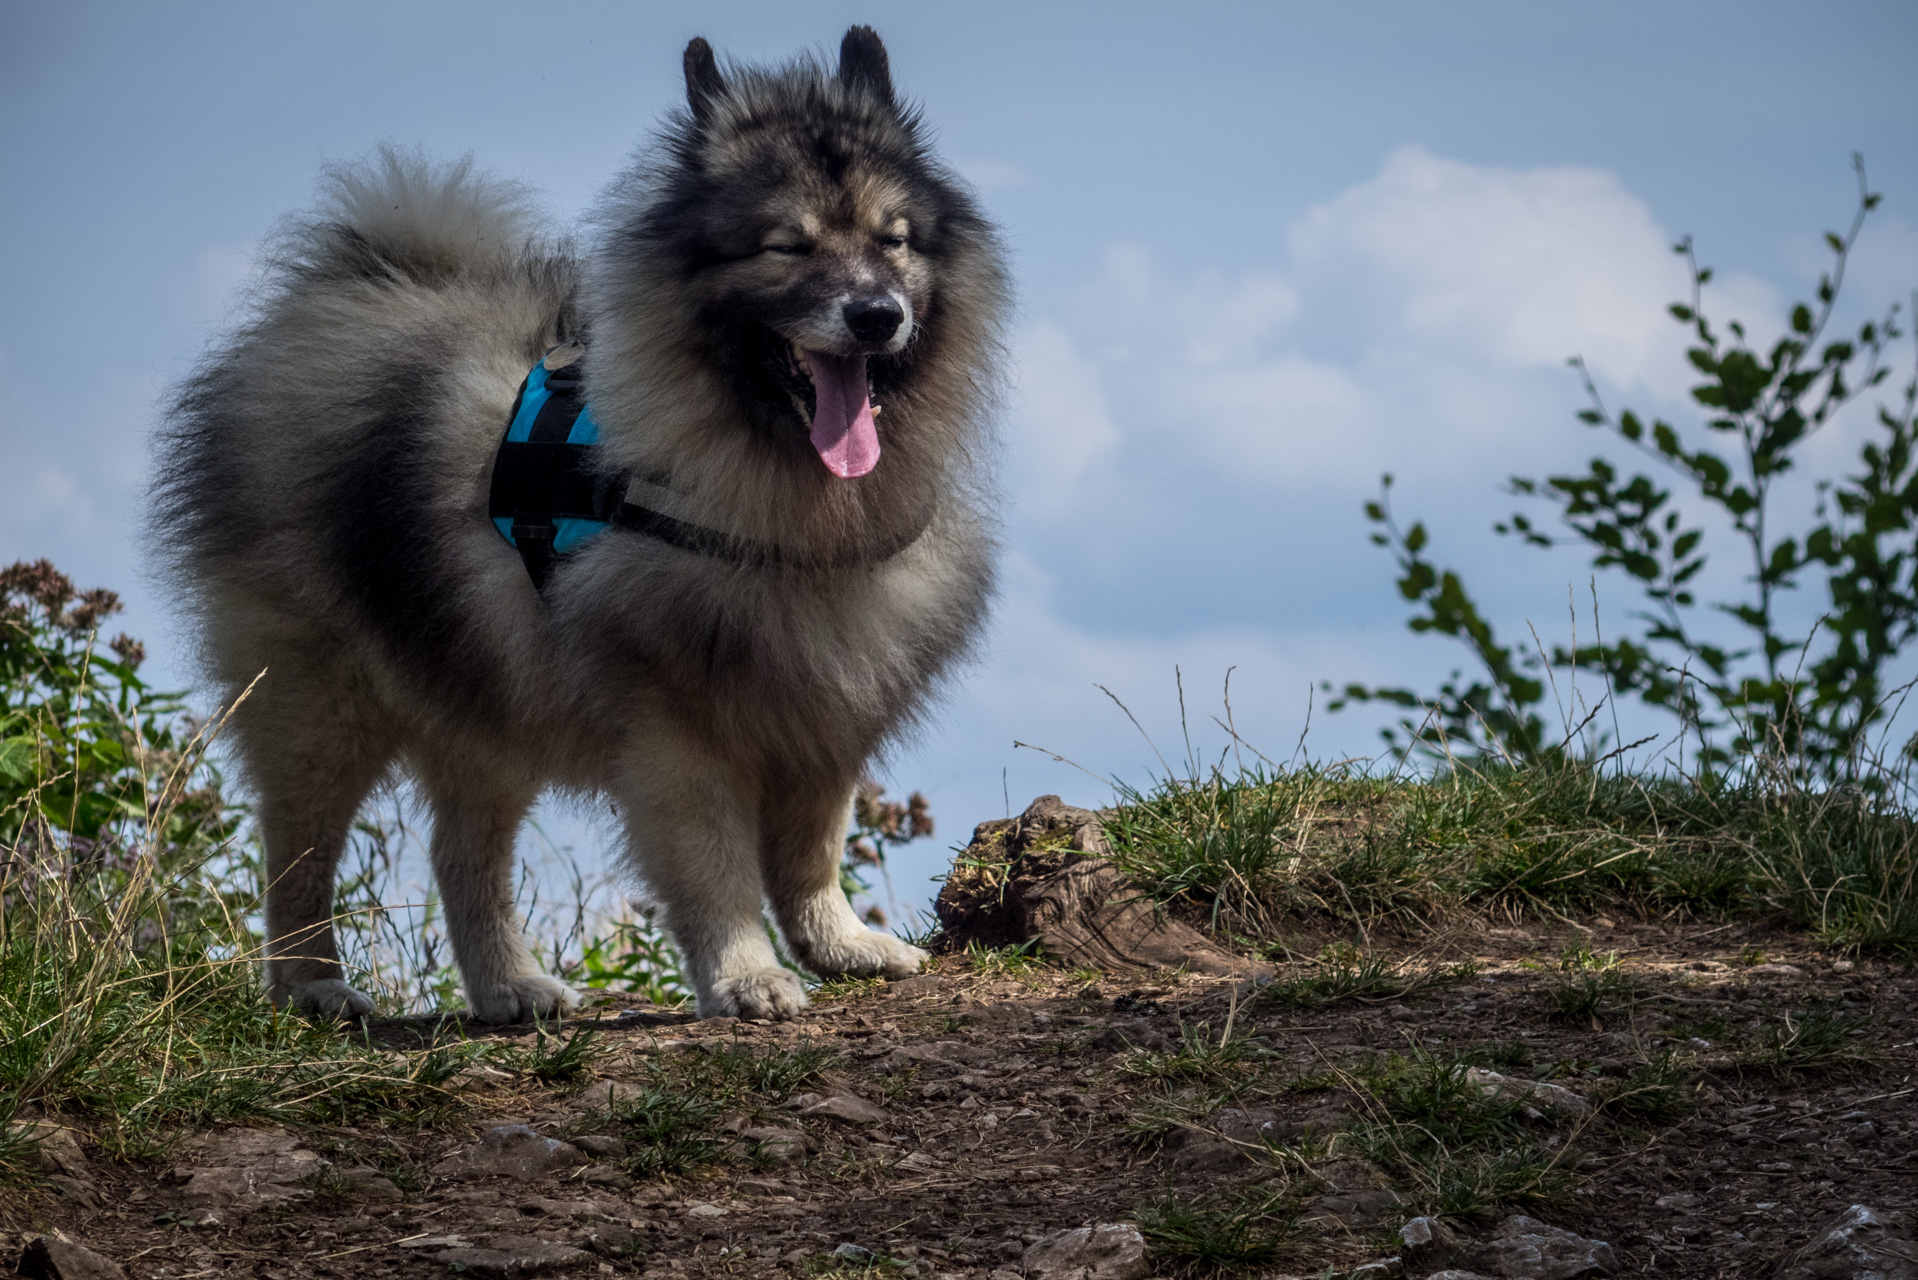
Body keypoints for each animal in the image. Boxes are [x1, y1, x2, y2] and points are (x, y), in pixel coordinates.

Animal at [157, 25, 1012, 1020]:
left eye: (893, 240)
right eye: (787, 247)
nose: (876, 314)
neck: (776, 494)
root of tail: (350, 291)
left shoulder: (820, 699)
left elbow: (811, 848)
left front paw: (837, 944)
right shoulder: (677, 724)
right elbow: (715, 865)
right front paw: (747, 974)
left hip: (484, 690)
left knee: (463, 853)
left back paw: (508, 987)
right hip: (322, 698)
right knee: (299, 850)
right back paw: (314, 986)